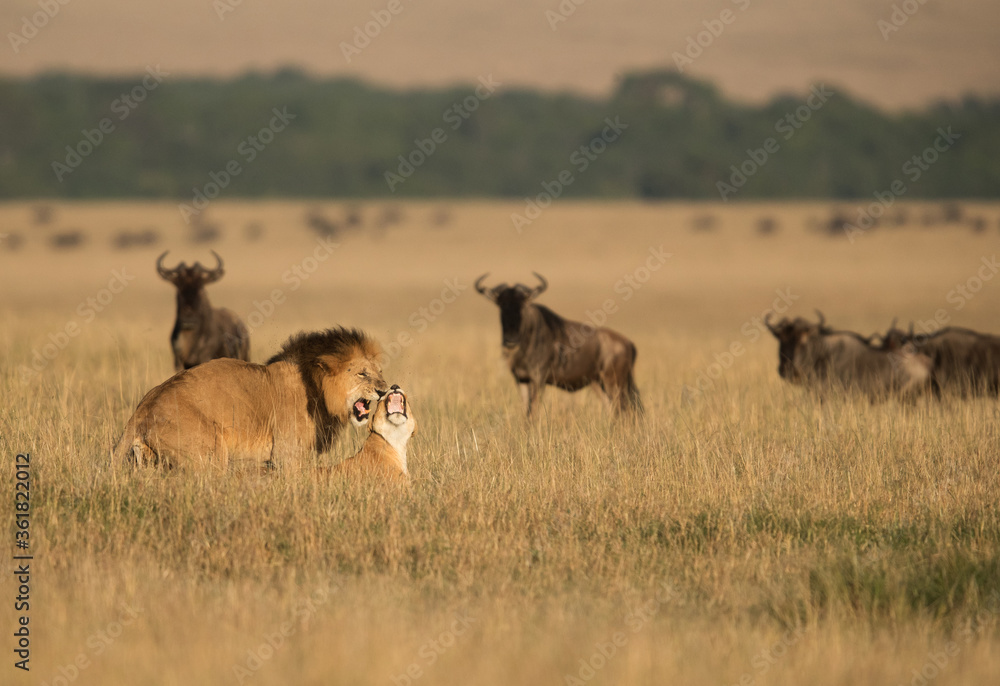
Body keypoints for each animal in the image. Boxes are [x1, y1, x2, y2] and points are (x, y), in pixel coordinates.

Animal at [112, 327, 388, 472]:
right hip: (210, 454)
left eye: (380, 372)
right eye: (362, 374)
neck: (317, 389)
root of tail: (142, 409)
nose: (385, 390)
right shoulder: (288, 456)